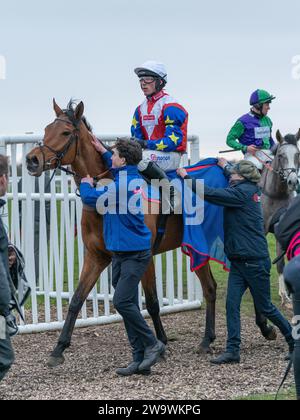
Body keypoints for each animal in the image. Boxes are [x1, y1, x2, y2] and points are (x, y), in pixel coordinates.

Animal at [26, 99, 276, 368]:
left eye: (65, 132)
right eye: (46, 129)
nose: (32, 160)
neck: (107, 196)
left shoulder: (144, 256)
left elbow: (153, 302)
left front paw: (161, 343)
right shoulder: (96, 256)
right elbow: (76, 299)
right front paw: (59, 348)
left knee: (250, 277)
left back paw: (266, 327)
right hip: (197, 248)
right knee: (210, 288)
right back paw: (207, 340)